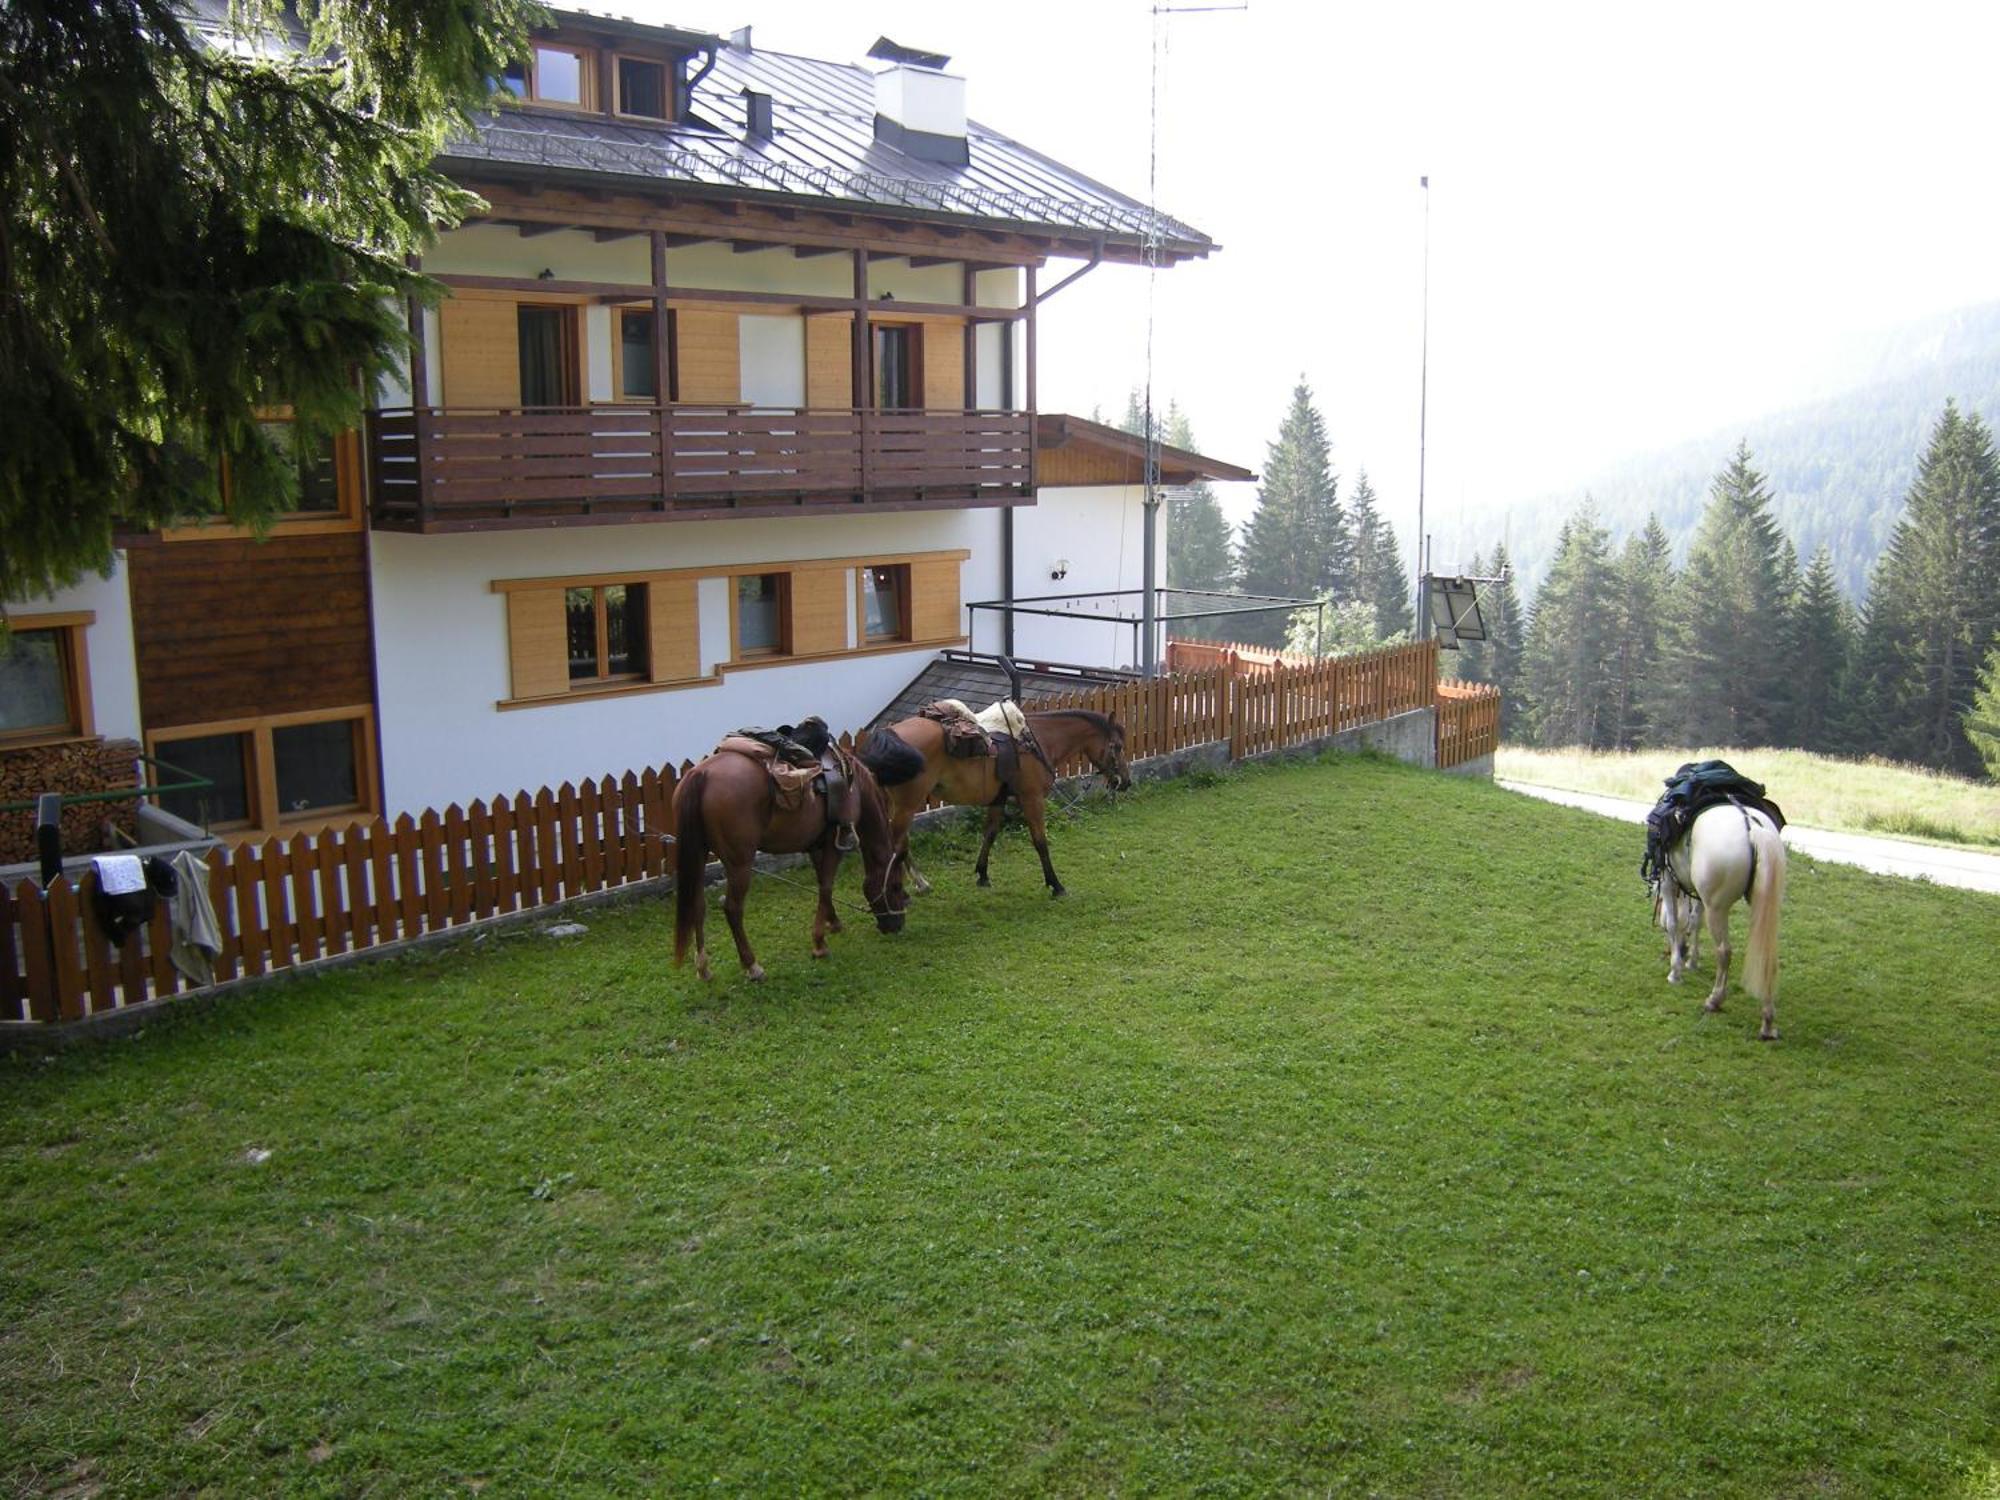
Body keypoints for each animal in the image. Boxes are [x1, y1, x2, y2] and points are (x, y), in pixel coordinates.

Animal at [672, 740, 920, 988]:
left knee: (697, 905)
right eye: (896, 886)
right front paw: (819, 944)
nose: (897, 924)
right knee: (732, 908)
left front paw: (833, 922)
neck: (854, 789)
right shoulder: (835, 844)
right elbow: (826, 886)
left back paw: (703, 968)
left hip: (700, 853)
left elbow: (823, 885)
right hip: (739, 862)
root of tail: (701, 773)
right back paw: (752, 966)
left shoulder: (816, 846)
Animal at [860, 708, 1136, 900]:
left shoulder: (998, 800)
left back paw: (920, 884)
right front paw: (1056, 885)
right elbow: (1040, 842)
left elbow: (990, 834)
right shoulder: (1032, 799)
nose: (1125, 781)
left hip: (898, 805)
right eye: (1117, 746)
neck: (1037, 741)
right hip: (908, 805)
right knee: (894, 845)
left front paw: (982, 874)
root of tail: (889, 736)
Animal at [1656, 804, 1800, 1040]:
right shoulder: (1698, 893)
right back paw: (1767, 1023)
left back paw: (1714, 1000)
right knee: (1767, 957)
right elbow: (1695, 921)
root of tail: (1752, 826)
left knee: (1724, 951)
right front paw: (1691, 961)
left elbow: (1674, 923)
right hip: (1764, 903)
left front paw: (1676, 971)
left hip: (1717, 908)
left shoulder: (1668, 879)